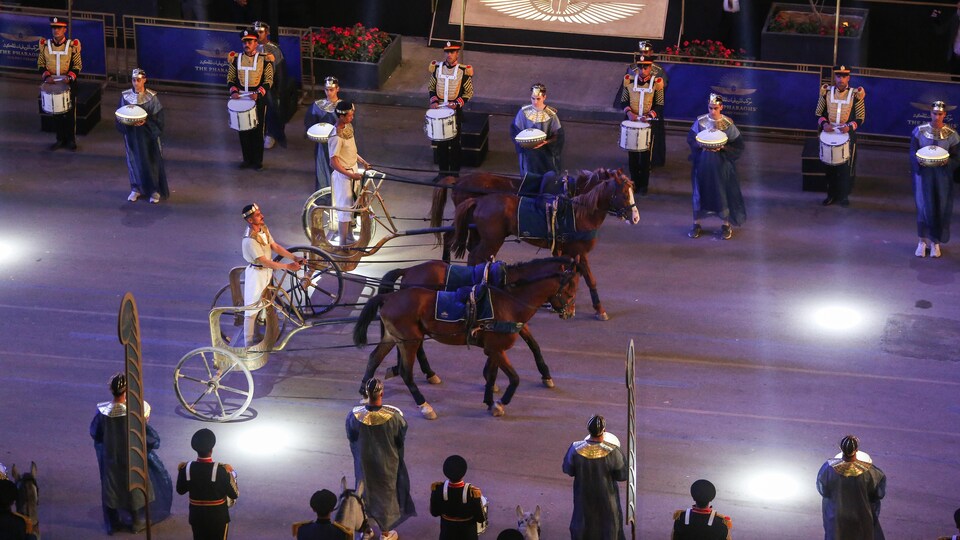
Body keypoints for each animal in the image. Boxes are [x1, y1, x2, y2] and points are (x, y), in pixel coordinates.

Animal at [376, 258, 564, 388]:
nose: (567, 312)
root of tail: (408, 269)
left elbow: (533, 344)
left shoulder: (512, 321)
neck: (510, 284)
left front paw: (546, 375)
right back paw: (427, 372)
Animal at [450, 169, 636, 320]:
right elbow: (590, 279)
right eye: (625, 195)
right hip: (492, 240)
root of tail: (478, 201)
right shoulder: (579, 250)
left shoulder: (564, 250)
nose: (635, 217)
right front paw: (599, 309)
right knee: (475, 257)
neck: (580, 214)